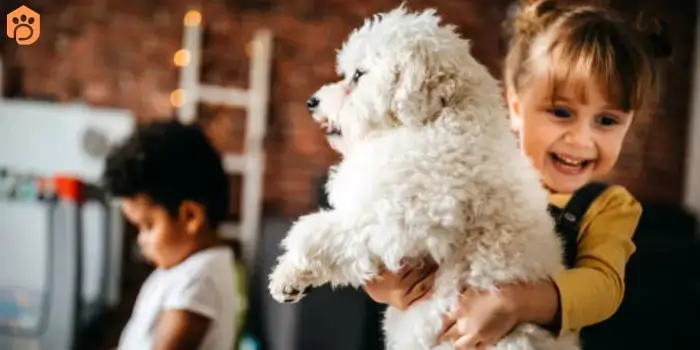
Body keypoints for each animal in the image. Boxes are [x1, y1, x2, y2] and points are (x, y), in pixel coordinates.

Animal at [268, 5, 580, 350]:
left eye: (359, 75)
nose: (312, 102)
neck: (437, 121)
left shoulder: (396, 218)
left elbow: (316, 232)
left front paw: (290, 271)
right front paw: (291, 280)